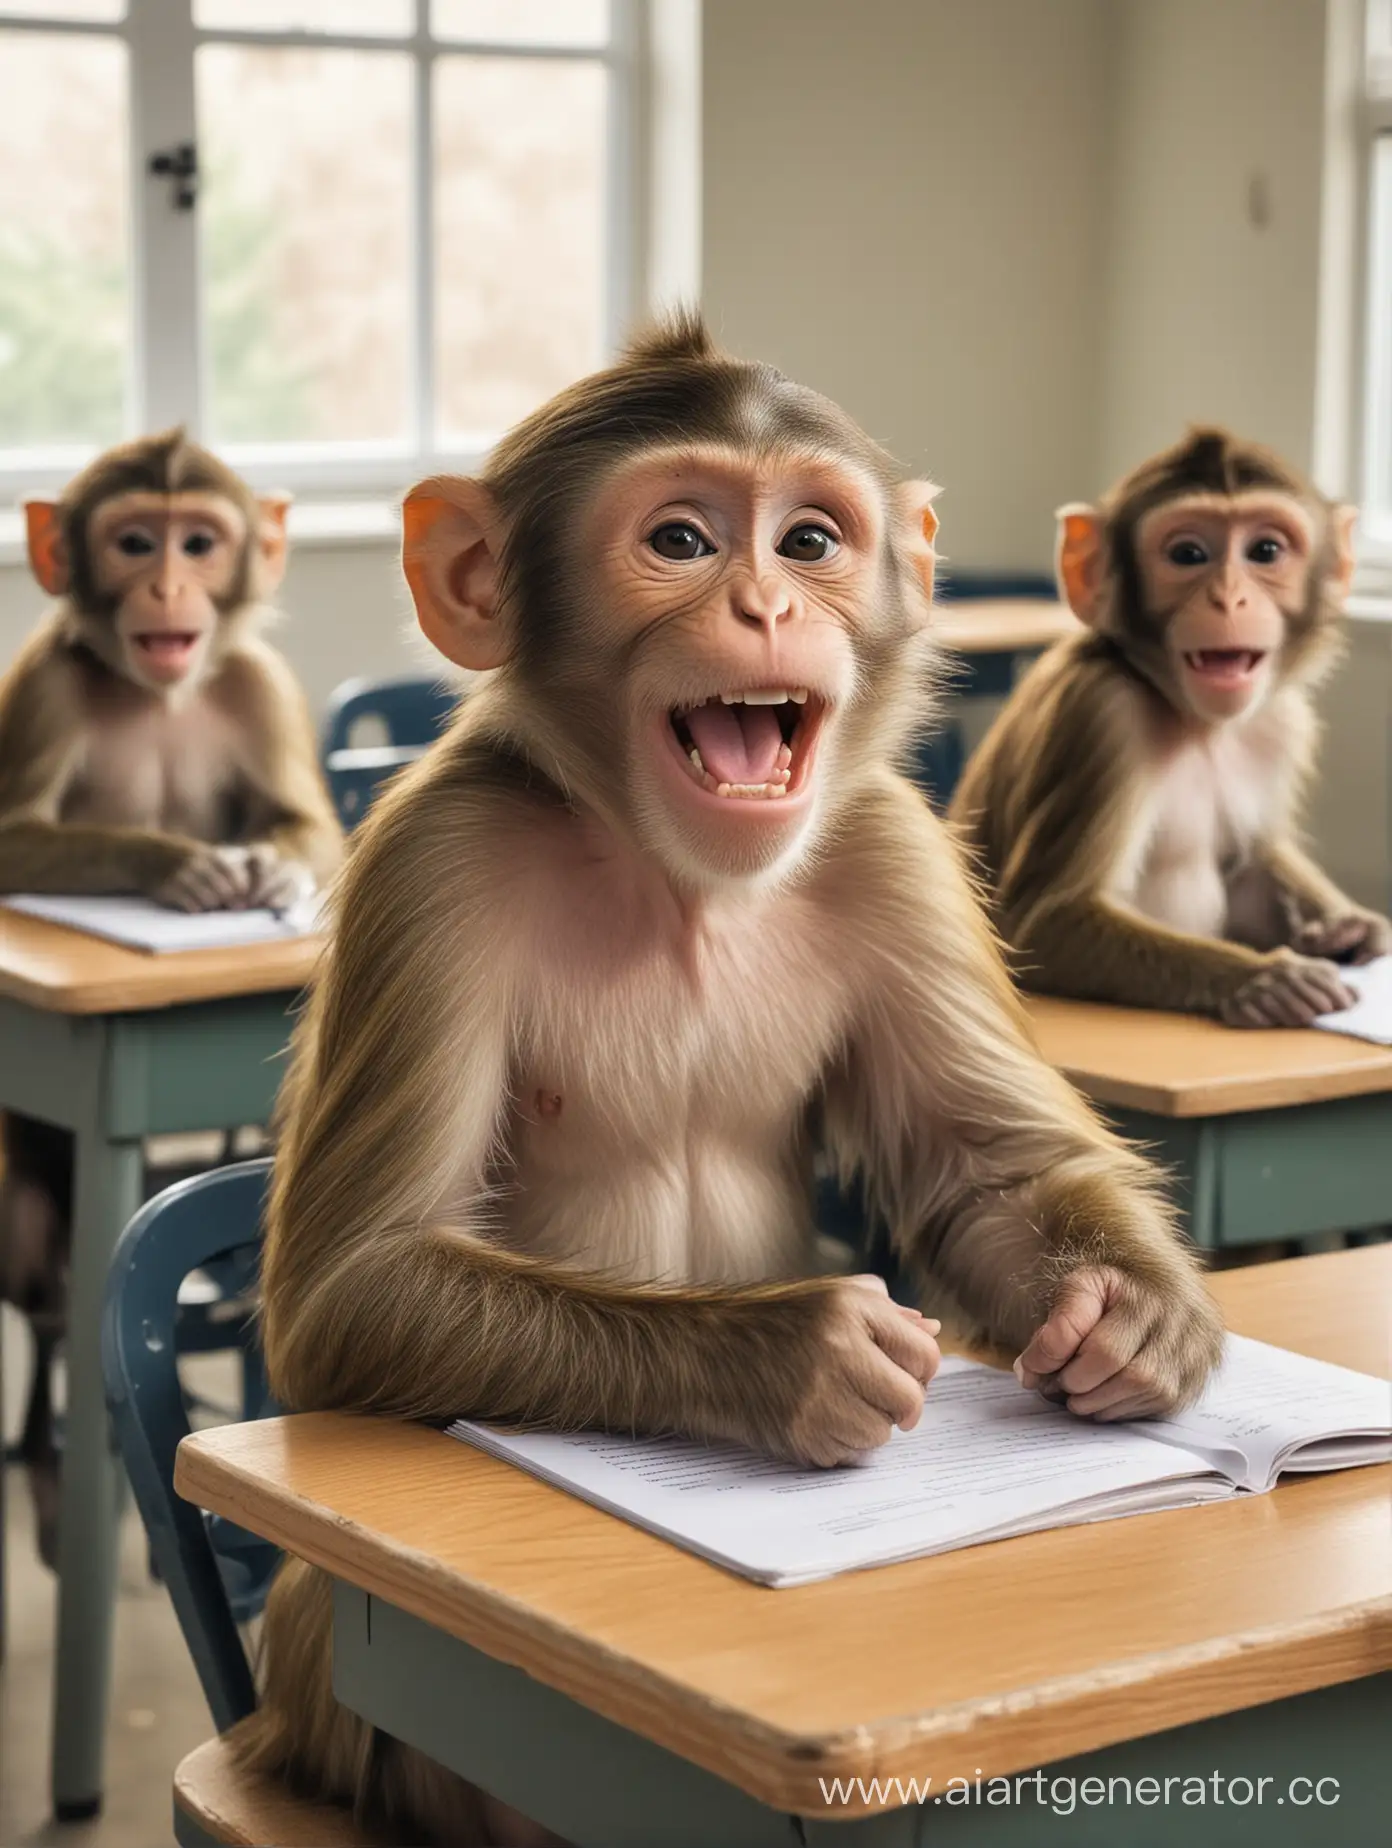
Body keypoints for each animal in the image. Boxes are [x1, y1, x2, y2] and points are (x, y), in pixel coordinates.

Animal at [0, 425, 341, 1567]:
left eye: (199, 540)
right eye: (133, 540)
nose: (165, 584)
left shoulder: (258, 686)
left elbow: (314, 830)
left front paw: (272, 876)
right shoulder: (43, 686)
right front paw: (180, 870)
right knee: (40, 1275)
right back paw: (56, 1473)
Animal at [233, 321, 1220, 1848]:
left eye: (811, 539)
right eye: (681, 540)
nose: (765, 606)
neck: (671, 869)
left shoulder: (891, 844)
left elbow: (991, 1172)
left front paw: (1128, 1316)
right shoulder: (432, 860)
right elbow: (359, 1281)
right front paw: (802, 1350)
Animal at [946, 426, 1390, 1034]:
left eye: (1266, 551)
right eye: (1187, 555)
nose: (1230, 597)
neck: (1195, 721)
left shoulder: (1282, 722)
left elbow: (1255, 860)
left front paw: (1351, 928)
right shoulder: (1098, 714)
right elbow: (1042, 922)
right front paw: (1264, 978)